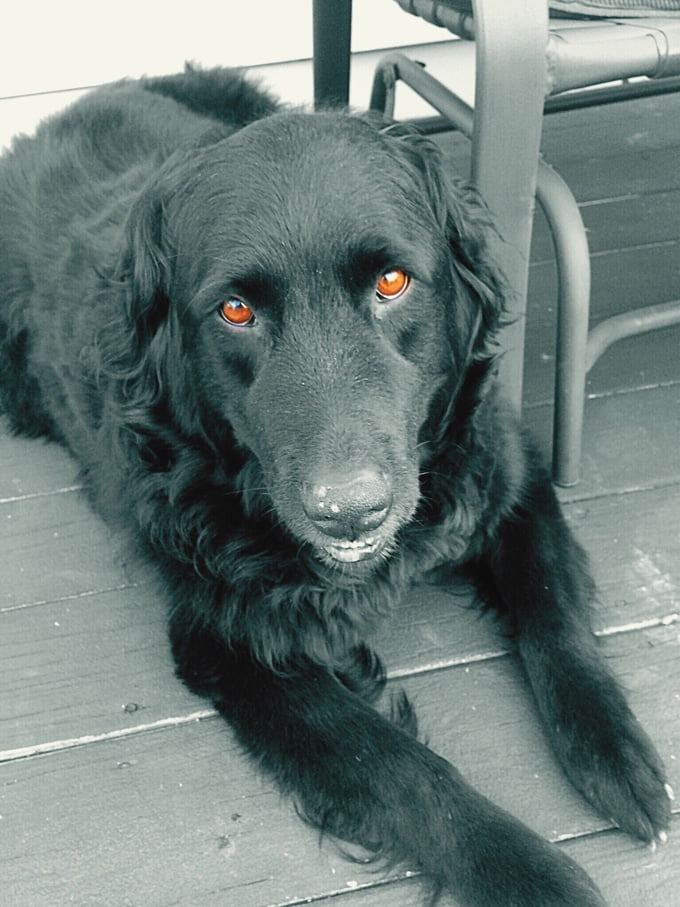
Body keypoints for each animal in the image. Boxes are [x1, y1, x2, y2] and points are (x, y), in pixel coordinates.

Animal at [0, 67, 668, 904]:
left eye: (392, 281)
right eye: (235, 309)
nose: (348, 513)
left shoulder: (510, 477)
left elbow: (555, 621)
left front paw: (620, 757)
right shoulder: (231, 643)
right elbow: (403, 769)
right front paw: (535, 875)